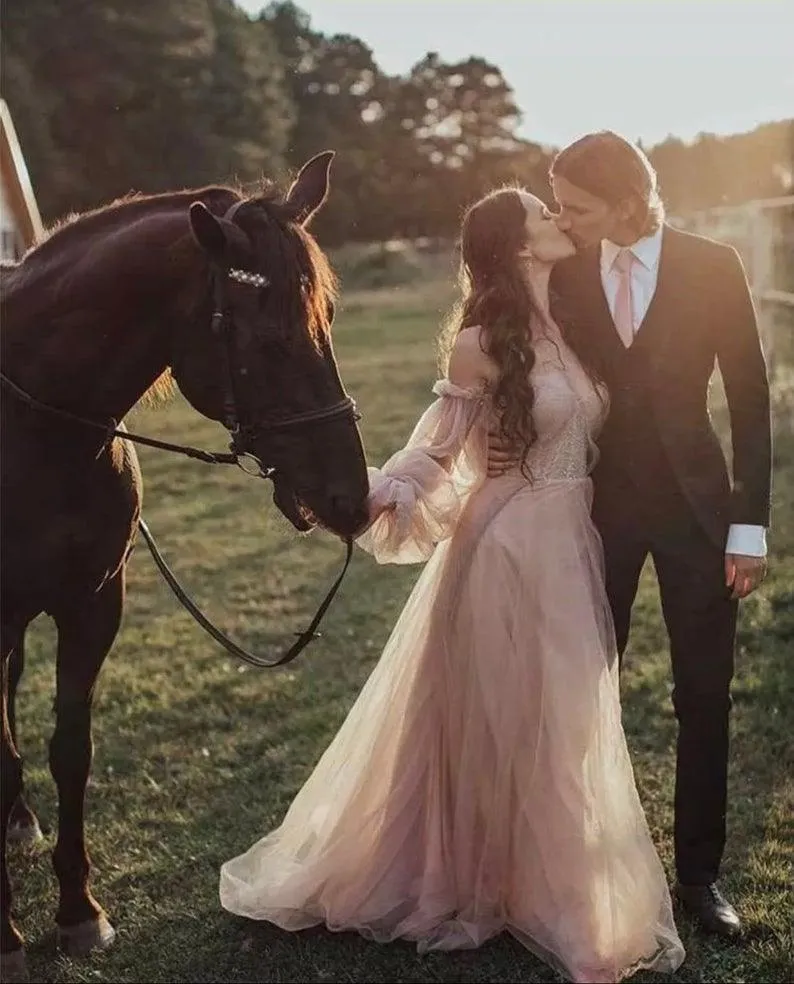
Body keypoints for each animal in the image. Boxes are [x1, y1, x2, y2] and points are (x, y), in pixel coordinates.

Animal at [0, 150, 370, 972]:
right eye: (268, 341)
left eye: (328, 321)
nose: (352, 499)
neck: (33, 430)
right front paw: (6, 935)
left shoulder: (93, 603)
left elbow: (70, 750)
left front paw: (79, 912)